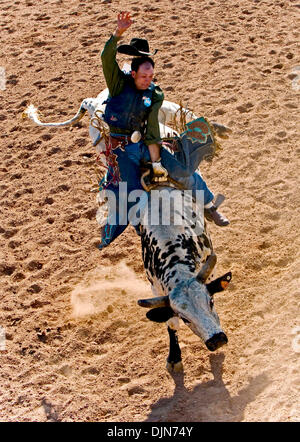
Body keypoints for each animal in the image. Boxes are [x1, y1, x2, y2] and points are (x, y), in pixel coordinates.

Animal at [137, 186, 231, 372]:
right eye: (184, 318)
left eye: (211, 302)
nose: (216, 340)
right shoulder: (156, 289)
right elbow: (171, 324)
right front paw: (174, 357)